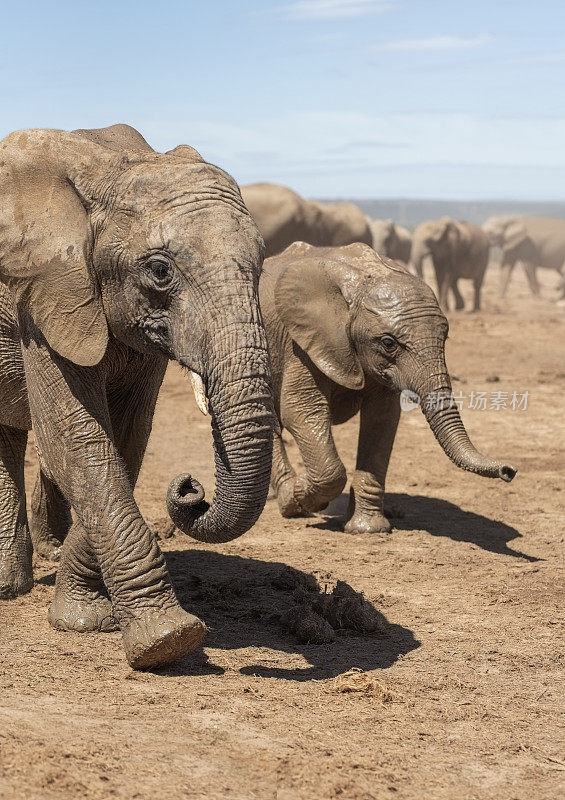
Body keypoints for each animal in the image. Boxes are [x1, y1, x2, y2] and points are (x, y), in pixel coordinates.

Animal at [0, 122, 274, 664]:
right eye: (160, 271)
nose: (190, 488)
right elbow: (77, 440)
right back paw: (7, 590)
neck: (116, 168)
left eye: (261, 264)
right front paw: (168, 640)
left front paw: (85, 618)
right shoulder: (43, 300)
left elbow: (127, 437)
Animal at [260, 241, 516, 536]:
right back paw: (286, 500)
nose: (509, 471)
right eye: (388, 343)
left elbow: (382, 419)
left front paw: (368, 529)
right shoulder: (302, 341)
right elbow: (300, 409)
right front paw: (300, 496)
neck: (364, 279)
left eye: (446, 337)